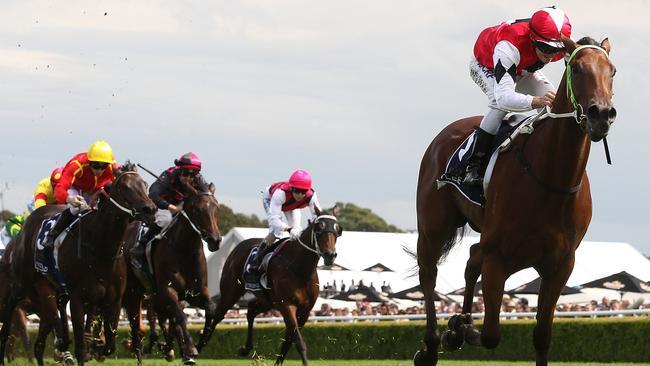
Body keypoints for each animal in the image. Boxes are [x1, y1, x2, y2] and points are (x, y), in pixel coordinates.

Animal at [0, 164, 156, 366]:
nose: (150, 209)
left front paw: (96, 345)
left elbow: (109, 344)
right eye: (126, 187)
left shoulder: (113, 300)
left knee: (41, 341)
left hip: (53, 291)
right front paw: (87, 347)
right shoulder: (77, 299)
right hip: (21, 284)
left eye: (144, 184)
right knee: (10, 311)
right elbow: (81, 348)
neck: (100, 249)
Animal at [123, 182, 221, 364]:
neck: (184, 251)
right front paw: (190, 348)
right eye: (197, 209)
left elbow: (211, 310)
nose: (215, 241)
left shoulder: (196, 292)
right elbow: (180, 317)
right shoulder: (168, 290)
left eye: (216, 208)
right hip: (134, 291)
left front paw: (200, 342)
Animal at [196, 213, 340, 364]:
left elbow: (289, 340)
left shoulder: (305, 311)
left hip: (267, 301)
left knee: (251, 310)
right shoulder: (287, 306)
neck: (299, 269)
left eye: (338, 231)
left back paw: (246, 348)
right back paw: (198, 347)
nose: (330, 255)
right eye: (318, 229)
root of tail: (237, 247)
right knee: (218, 316)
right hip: (231, 292)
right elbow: (298, 342)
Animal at [412, 38, 616, 366]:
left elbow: (542, 336)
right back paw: (431, 345)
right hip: (433, 227)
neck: (551, 180)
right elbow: (491, 335)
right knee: (428, 274)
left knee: (471, 256)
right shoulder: (498, 259)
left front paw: (460, 325)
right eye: (576, 69)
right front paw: (461, 329)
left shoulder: (560, 265)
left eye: (613, 71)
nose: (601, 115)